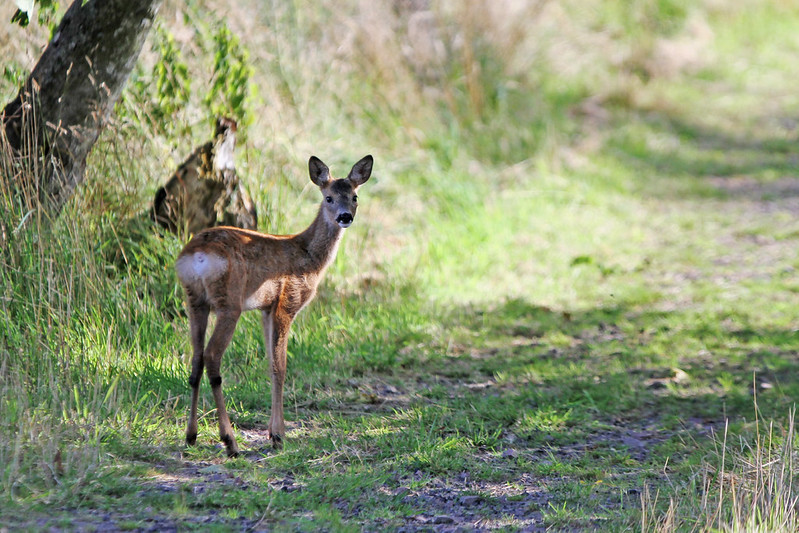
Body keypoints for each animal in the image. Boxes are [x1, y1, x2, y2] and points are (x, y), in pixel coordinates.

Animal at [175, 155, 373, 456]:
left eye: (354, 196)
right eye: (328, 197)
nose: (345, 217)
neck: (308, 256)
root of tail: (197, 254)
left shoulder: (266, 309)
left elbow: (270, 364)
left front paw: (273, 430)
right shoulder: (286, 302)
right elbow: (281, 366)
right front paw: (278, 435)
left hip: (195, 300)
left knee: (196, 359)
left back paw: (191, 435)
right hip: (229, 302)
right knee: (212, 356)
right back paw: (230, 441)